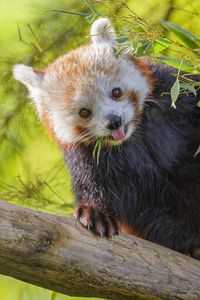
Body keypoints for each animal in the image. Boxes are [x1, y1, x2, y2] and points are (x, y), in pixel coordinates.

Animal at [12, 17, 200, 258]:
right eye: (84, 112)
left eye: (116, 92)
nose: (114, 121)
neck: (133, 137)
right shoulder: (89, 156)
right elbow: (99, 188)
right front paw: (95, 212)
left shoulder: (177, 98)